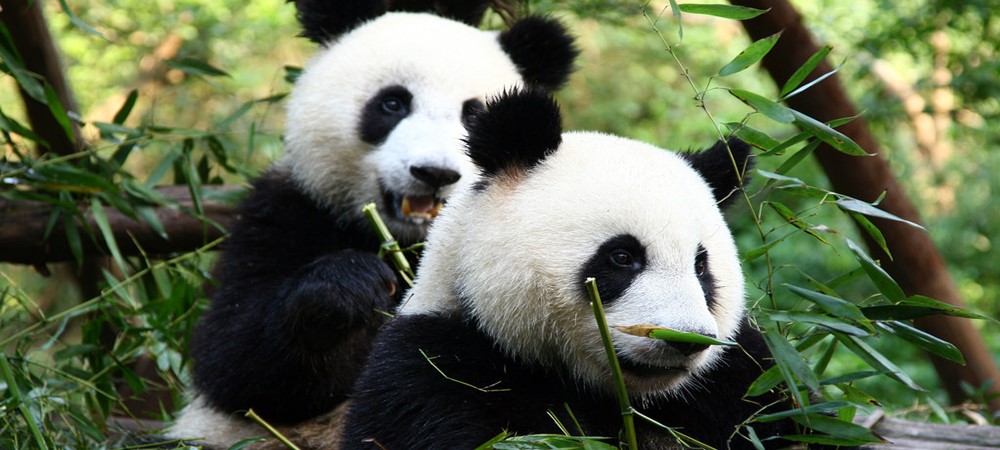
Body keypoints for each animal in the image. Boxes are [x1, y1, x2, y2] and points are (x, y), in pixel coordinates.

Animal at [166, 1, 580, 448]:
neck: (408, 240)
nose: (434, 172)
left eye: (473, 113)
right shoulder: (290, 210)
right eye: (393, 104)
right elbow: (234, 359)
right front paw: (350, 285)